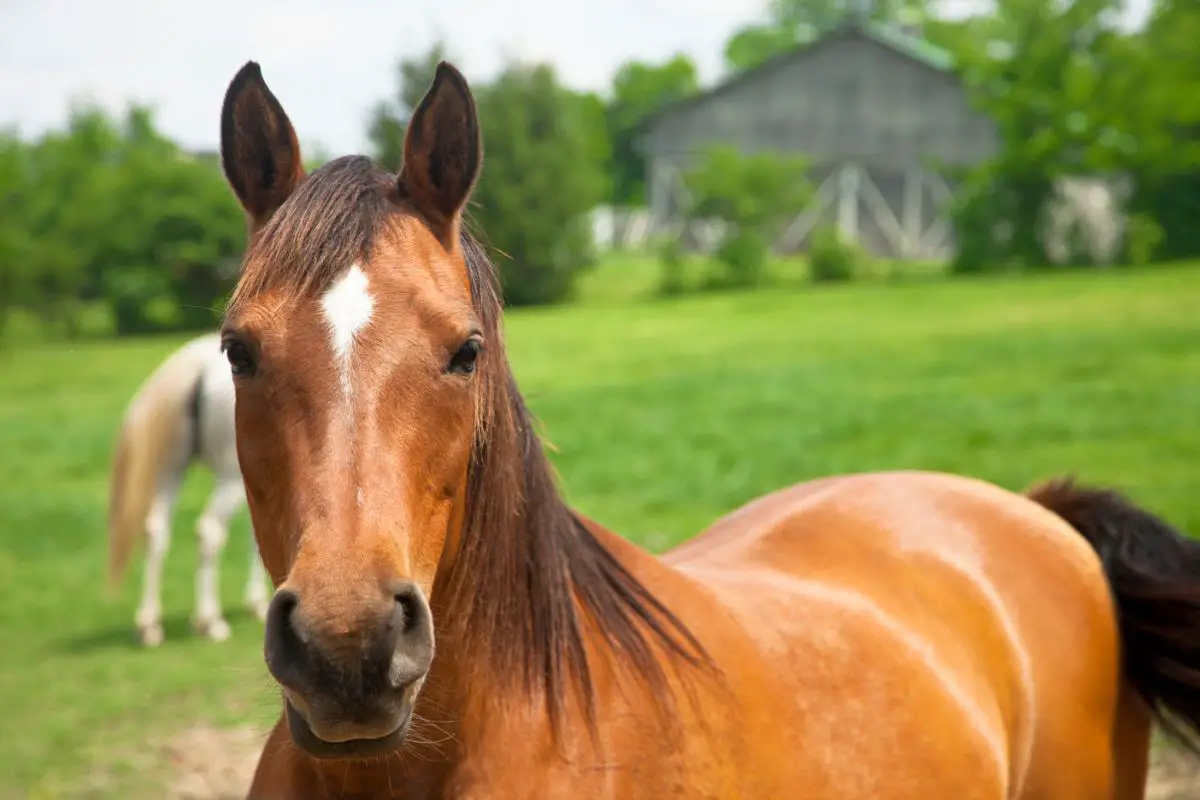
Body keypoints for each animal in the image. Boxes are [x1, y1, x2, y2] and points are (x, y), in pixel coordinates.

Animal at [106, 335, 270, 647]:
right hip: (230, 478)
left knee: (156, 531)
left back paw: (150, 626)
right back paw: (210, 622)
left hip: (170, 472)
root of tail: (197, 368)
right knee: (209, 532)